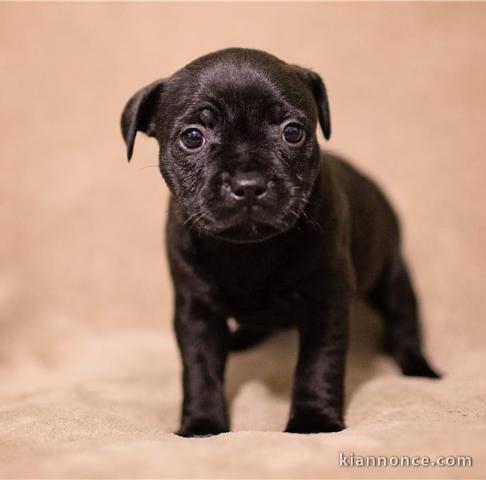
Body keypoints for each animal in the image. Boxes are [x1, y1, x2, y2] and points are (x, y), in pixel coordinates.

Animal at [121, 47, 440, 436]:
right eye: (193, 137)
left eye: (293, 132)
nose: (248, 184)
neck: (247, 250)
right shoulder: (197, 310)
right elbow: (200, 370)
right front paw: (202, 426)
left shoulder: (325, 301)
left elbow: (317, 365)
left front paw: (313, 422)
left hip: (392, 274)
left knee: (404, 321)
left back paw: (420, 370)